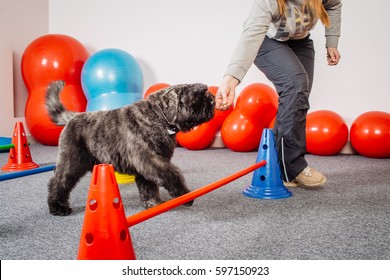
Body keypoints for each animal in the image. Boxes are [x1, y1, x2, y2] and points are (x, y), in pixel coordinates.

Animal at [47, 80, 216, 215]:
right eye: (196, 95)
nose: (213, 101)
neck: (158, 117)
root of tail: (72, 117)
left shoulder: (146, 166)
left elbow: (148, 187)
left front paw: (153, 204)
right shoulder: (151, 160)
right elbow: (171, 175)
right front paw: (184, 194)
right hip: (71, 162)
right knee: (58, 182)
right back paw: (58, 207)